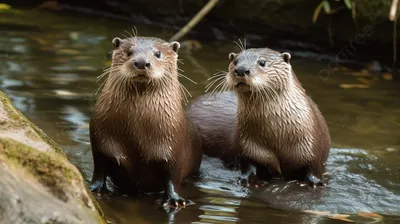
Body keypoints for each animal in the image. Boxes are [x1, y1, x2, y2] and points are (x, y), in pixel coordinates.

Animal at [90, 36, 203, 207]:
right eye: (129, 52)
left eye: (158, 54)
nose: (142, 62)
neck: (137, 131)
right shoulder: (101, 142)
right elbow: (99, 168)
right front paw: (95, 188)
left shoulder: (174, 149)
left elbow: (173, 176)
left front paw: (174, 199)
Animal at [188, 48, 332, 188]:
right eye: (235, 61)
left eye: (262, 62)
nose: (241, 69)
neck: (277, 133)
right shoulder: (249, 147)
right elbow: (248, 164)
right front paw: (248, 180)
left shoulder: (311, 144)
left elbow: (313, 167)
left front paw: (316, 182)